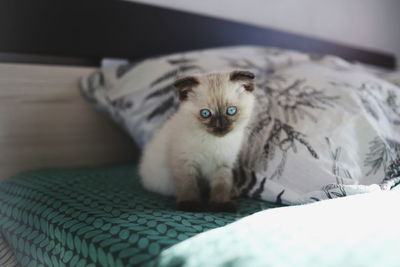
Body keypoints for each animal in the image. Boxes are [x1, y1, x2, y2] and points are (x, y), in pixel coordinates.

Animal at [139, 70, 255, 213]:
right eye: (205, 113)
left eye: (231, 111)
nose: (220, 126)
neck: (213, 142)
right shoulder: (185, 163)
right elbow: (189, 186)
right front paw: (190, 205)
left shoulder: (222, 165)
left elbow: (221, 186)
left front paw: (221, 205)